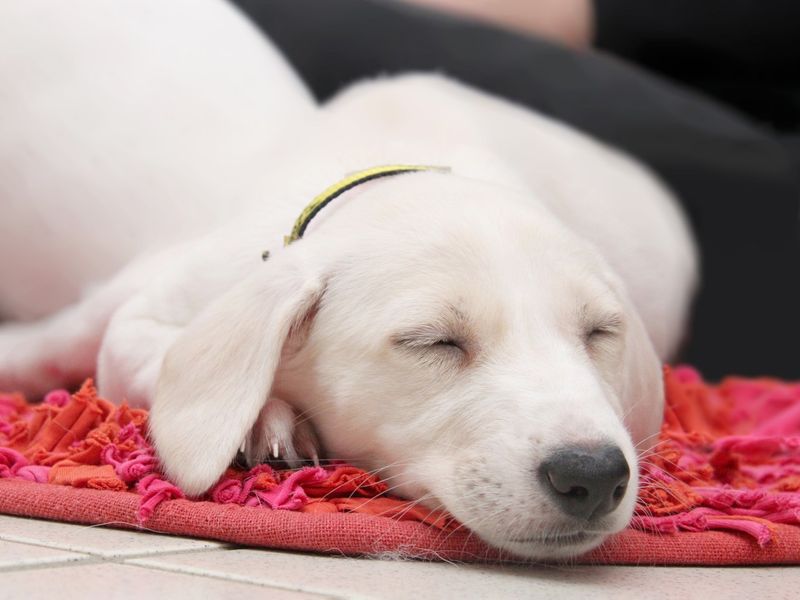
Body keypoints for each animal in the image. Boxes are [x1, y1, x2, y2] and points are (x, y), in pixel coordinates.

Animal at [0, 1, 692, 564]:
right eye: (433, 342)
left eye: (600, 332)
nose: (594, 474)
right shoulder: (141, 312)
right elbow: (131, 345)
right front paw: (261, 418)